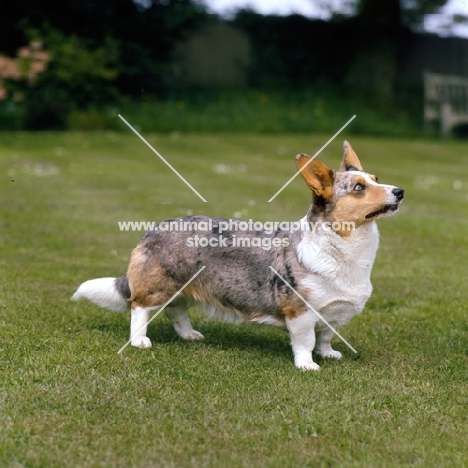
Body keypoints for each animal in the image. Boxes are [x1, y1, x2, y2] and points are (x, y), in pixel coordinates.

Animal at [72, 141, 402, 372]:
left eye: (376, 178)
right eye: (359, 188)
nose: (399, 191)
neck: (347, 247)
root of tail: (150, 231)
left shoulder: (330, 313)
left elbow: (325, 336)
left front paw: (329, 354)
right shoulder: (301, 312)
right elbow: (306, 341)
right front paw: (308, 364)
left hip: (184, 288)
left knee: (177, 311)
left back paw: (190, 335)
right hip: (158, 286)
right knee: (139, 307)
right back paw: (140, 341)